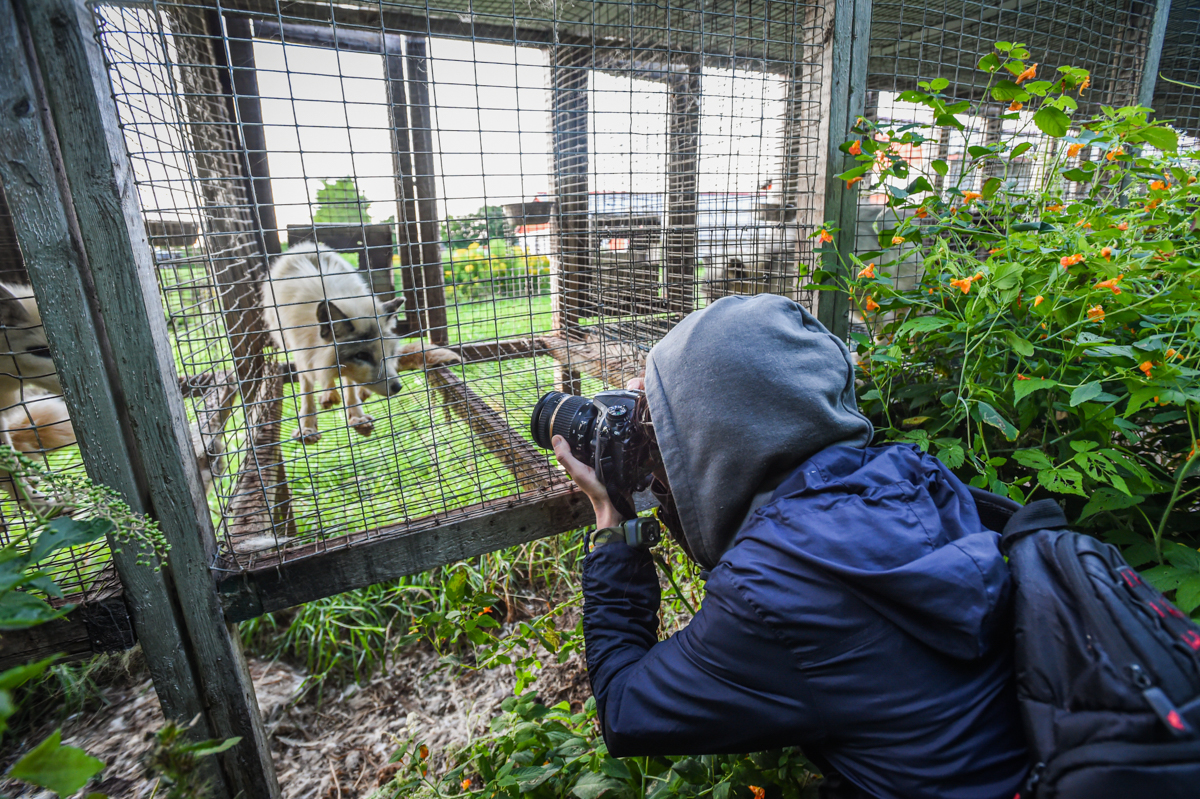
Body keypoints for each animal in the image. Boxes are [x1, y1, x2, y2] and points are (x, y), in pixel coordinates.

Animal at [261, 242, 458, 441]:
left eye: (389, 354)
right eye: (362, 355)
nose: (398, 387)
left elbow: (350, 386)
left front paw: (357, 416)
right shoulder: (301, 351)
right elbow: (307, 393)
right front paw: (307, 427)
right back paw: (329, 393)